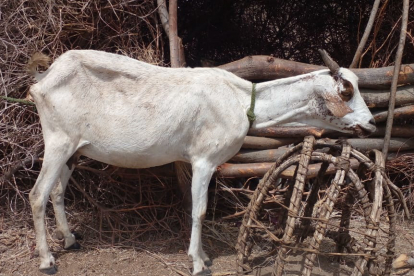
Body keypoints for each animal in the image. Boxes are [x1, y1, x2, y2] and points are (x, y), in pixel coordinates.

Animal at [27, 49, 374, 274]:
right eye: (346, 90)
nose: (370, 125)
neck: (241, 100)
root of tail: (43, 79)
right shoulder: (204, 160)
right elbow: (201, 210)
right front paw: (198, 262)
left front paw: (204, 257)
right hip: (58, 140)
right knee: (37, 195)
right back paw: (46, 261)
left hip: (74, 149)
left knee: (57, 192)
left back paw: (70, 240)